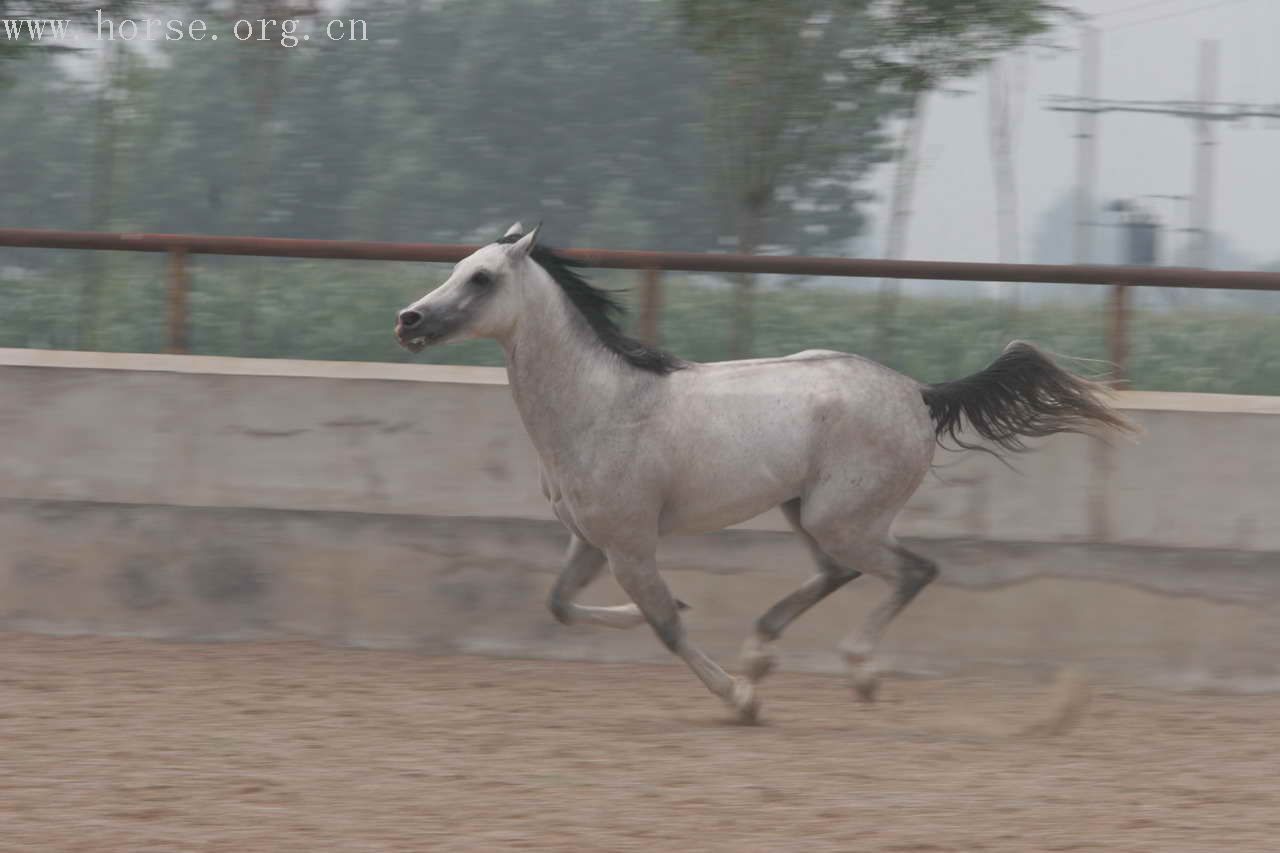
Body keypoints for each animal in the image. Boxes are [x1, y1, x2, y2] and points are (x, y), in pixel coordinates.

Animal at [391, 224, 1131, 717]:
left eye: (482, 278)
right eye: (458, 266)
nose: (408, 320)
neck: (602, 404)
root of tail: (919, 393)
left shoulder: (631, 543)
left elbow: (665, 626)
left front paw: (738, 697)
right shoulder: (591, 540)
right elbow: (563, 604)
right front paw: (707, 643)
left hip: (842, 518)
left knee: (913, 570)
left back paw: (855, 673)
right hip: (805, 511)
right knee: (840, 574)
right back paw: (763, 651)